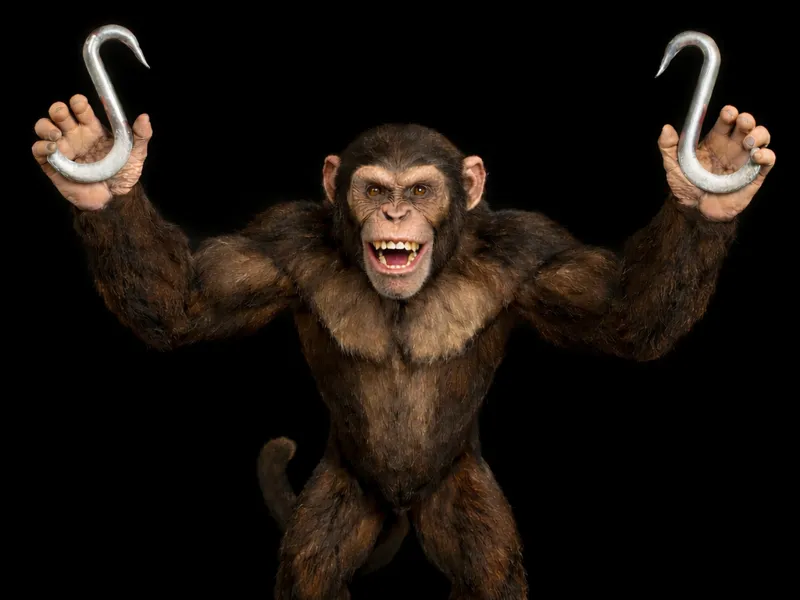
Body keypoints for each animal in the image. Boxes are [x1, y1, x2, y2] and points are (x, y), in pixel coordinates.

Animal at [32, 93, 775, 598]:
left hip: (456, 484)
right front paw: (97, 173)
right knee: (312, 566)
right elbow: (182, 306)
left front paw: (710, 184)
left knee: (489, 571)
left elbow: (624, 316)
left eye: (419, 188)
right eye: (374, 188)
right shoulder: (276, 246)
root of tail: (401, 505)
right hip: (345, 487)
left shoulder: (535, 255)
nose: (395, 213)